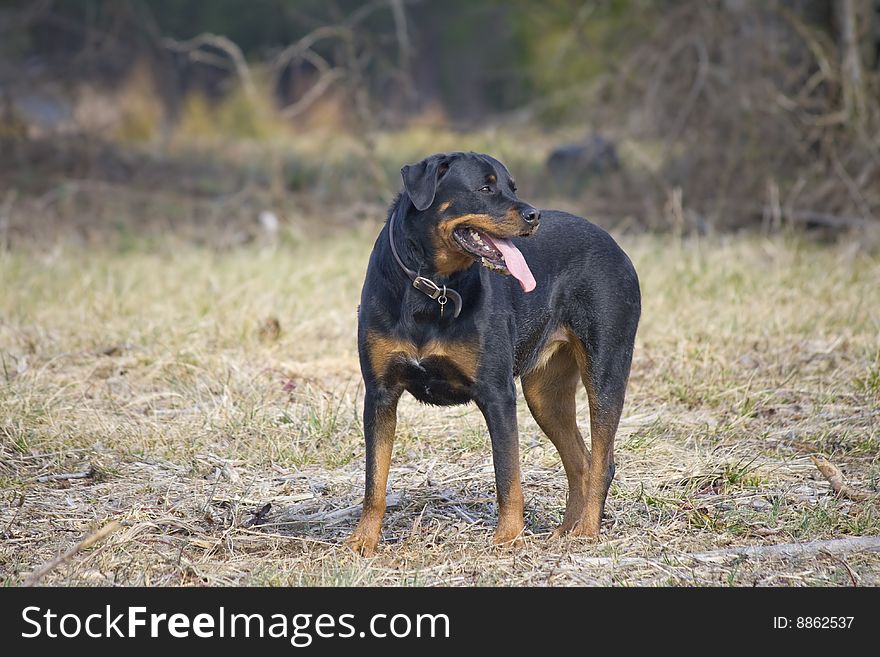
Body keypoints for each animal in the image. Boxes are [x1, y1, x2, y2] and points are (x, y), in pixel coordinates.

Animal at [344, 150, 640, 552]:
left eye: (512, 187)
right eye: (485, 188)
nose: (534, 215)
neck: (432, 288)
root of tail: (615, 245)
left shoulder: (497, 393)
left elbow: (507, 474)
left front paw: (508, 538)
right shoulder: (380, 394)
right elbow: (374, 480)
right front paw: (363, 541)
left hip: (606, 367)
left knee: (602, 461)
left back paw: (586, 532)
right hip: (544, 393)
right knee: (581, 461)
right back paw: (565, 531)